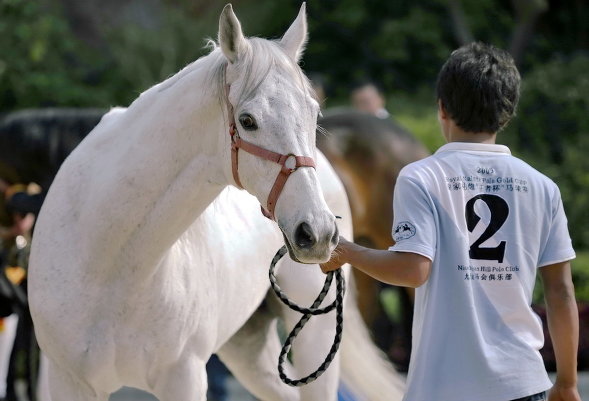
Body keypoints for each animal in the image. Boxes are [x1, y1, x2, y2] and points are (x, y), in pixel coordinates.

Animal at [27, 3, 404, 400]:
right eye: (248, 121)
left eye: (314, 114)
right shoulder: (69, 380)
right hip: (248, 346)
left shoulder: (184, 377)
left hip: (316, 336)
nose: (316, 233)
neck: (110, 264)